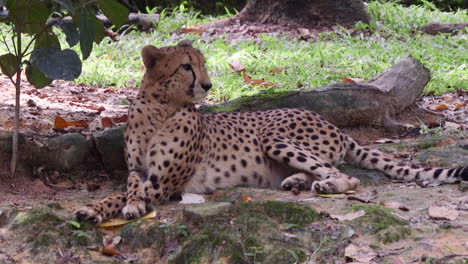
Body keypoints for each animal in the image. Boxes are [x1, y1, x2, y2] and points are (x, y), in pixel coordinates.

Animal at [75, 40, 466, 224]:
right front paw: (93, 209)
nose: (208, 84)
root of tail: (332, 124)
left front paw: (129, 206)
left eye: (203, 65)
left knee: (346, 176)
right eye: (187, 66)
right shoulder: (136, 169)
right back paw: (296, 182)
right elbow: (124, 188)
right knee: (326, 171)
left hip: (273, 136)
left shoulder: (164, 181)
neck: (160, 108)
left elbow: (130, 195)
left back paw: (323, 185)